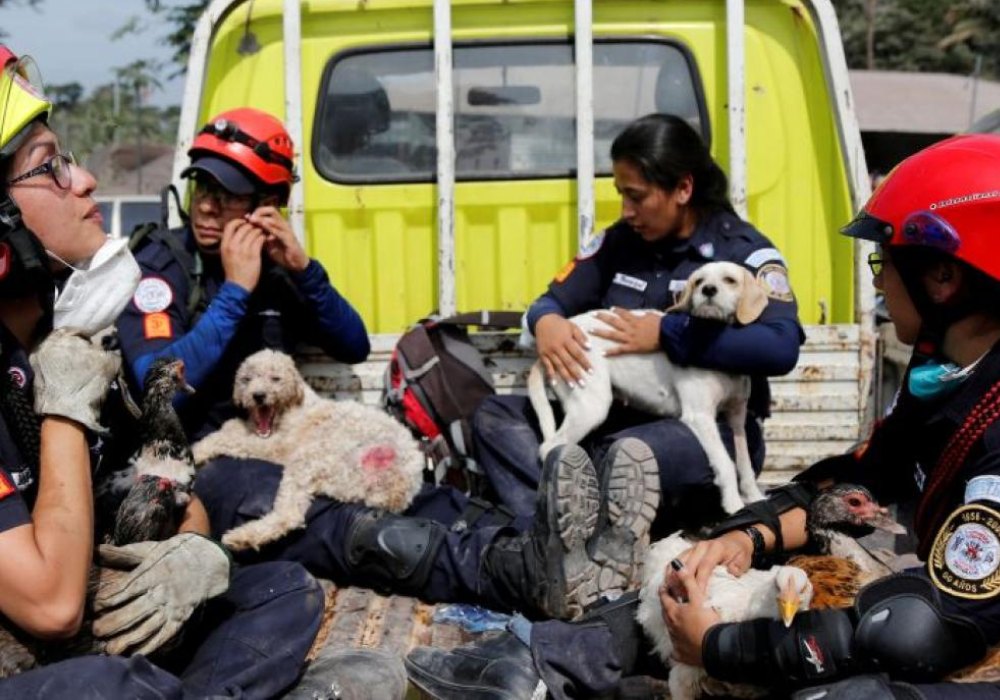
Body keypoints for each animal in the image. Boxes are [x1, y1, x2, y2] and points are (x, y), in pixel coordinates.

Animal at [192, 350, 426, 552]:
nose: (258, 395)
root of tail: (396, 492)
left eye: (275, 378)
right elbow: (235, 428)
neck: (295, 404)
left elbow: (232, 439)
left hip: (313, 458)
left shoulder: (281, 446)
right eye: (247, 379)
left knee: (290, 515)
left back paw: (242, 537)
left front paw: (197, 451)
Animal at [528, 260, 768, 512]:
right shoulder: (700, 416)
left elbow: (744, 464)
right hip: (591, 407)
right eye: (699, 281)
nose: (708, 290)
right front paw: (734, 505)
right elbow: (726, 463)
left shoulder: (736, 416)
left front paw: (754, 497)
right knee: (549, 447)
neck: (714, 342)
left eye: (730, 280)